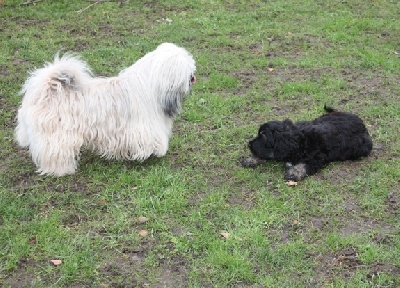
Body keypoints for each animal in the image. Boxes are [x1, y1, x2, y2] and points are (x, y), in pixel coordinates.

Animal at [15, 42, 197, 176]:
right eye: (186, 65)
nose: (193, 74)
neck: (150, 85)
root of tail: (46, 89)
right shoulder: (143, 129)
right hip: (57, 136)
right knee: (54, 152)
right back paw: (61, 170)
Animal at [242, 107, 374, 181]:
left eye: (263, 137)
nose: (249, 144)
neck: (300, 141)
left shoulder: (318, 157)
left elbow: (305, 164)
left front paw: (294, 172)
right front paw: (251, 160)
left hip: (362, 149)